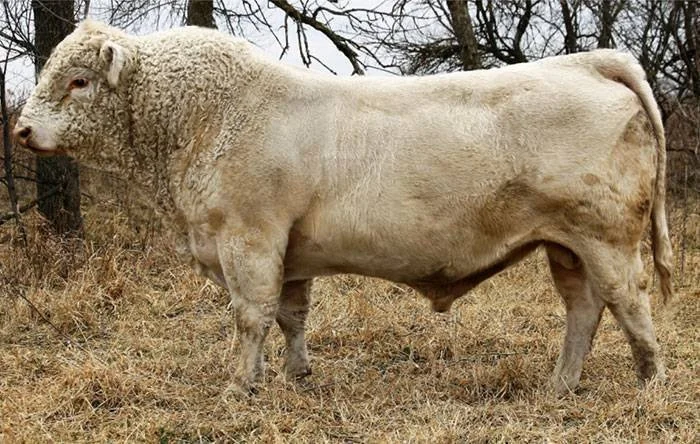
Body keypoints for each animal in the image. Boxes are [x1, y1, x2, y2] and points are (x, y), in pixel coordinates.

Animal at [14, 20, 673, 396]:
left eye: (77, 81)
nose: (20, 129)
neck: (203, 120)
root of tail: (589, 61)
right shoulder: (289, 251)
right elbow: (290, 315)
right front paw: (293, 375)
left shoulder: (249, 238)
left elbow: (250, 315)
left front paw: (238, 387)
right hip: (565, 245)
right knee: (583, 309)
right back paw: (561, 385)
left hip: (608, 237)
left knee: (628, 301)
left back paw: (649, 381)